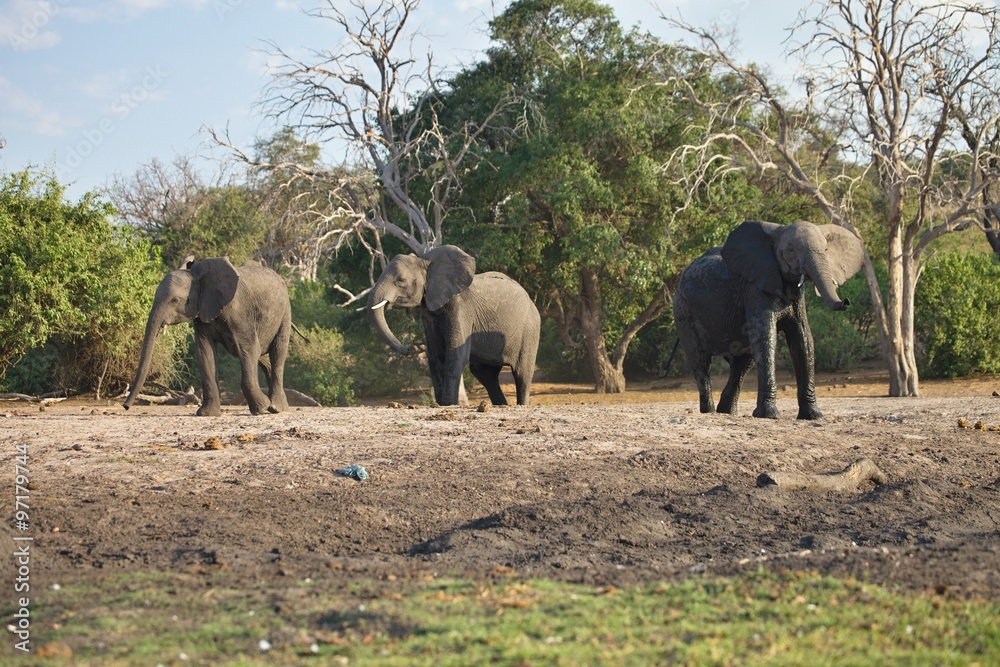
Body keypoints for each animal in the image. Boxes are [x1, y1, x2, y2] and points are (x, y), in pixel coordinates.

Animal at [123, 256, 292, 416]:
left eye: (175, 300)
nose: (125, 406)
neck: (199, 278)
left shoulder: (240, 312)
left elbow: (248, 348)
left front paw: (261, 409)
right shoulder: (202, 313)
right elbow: (204, 352)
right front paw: (207, 414)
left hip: (285, 313)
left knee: (277, 353)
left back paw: (275, 407)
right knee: (262, 357)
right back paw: (277, 406)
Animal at [368, 245, 541, 406]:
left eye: (400, 280)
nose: (407, 350)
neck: (426, 262)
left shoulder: (461, 307)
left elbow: (456, 354)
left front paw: (449, 404)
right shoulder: (429, 313)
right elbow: (435, 356)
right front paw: (440, 404)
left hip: (530, 330)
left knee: (522, 373)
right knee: (485, 374)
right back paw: (501, 405)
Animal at [672, 220, 865, 419]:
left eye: (826, 249)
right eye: (790, 251)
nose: (846, 301)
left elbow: (803, 339)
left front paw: (814, 415)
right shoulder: (755, 289)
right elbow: (766, 337)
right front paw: (770, 415)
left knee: (742, 364)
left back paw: (727, 412)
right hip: (683, 312)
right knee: (701, 360)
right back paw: (709, 412)